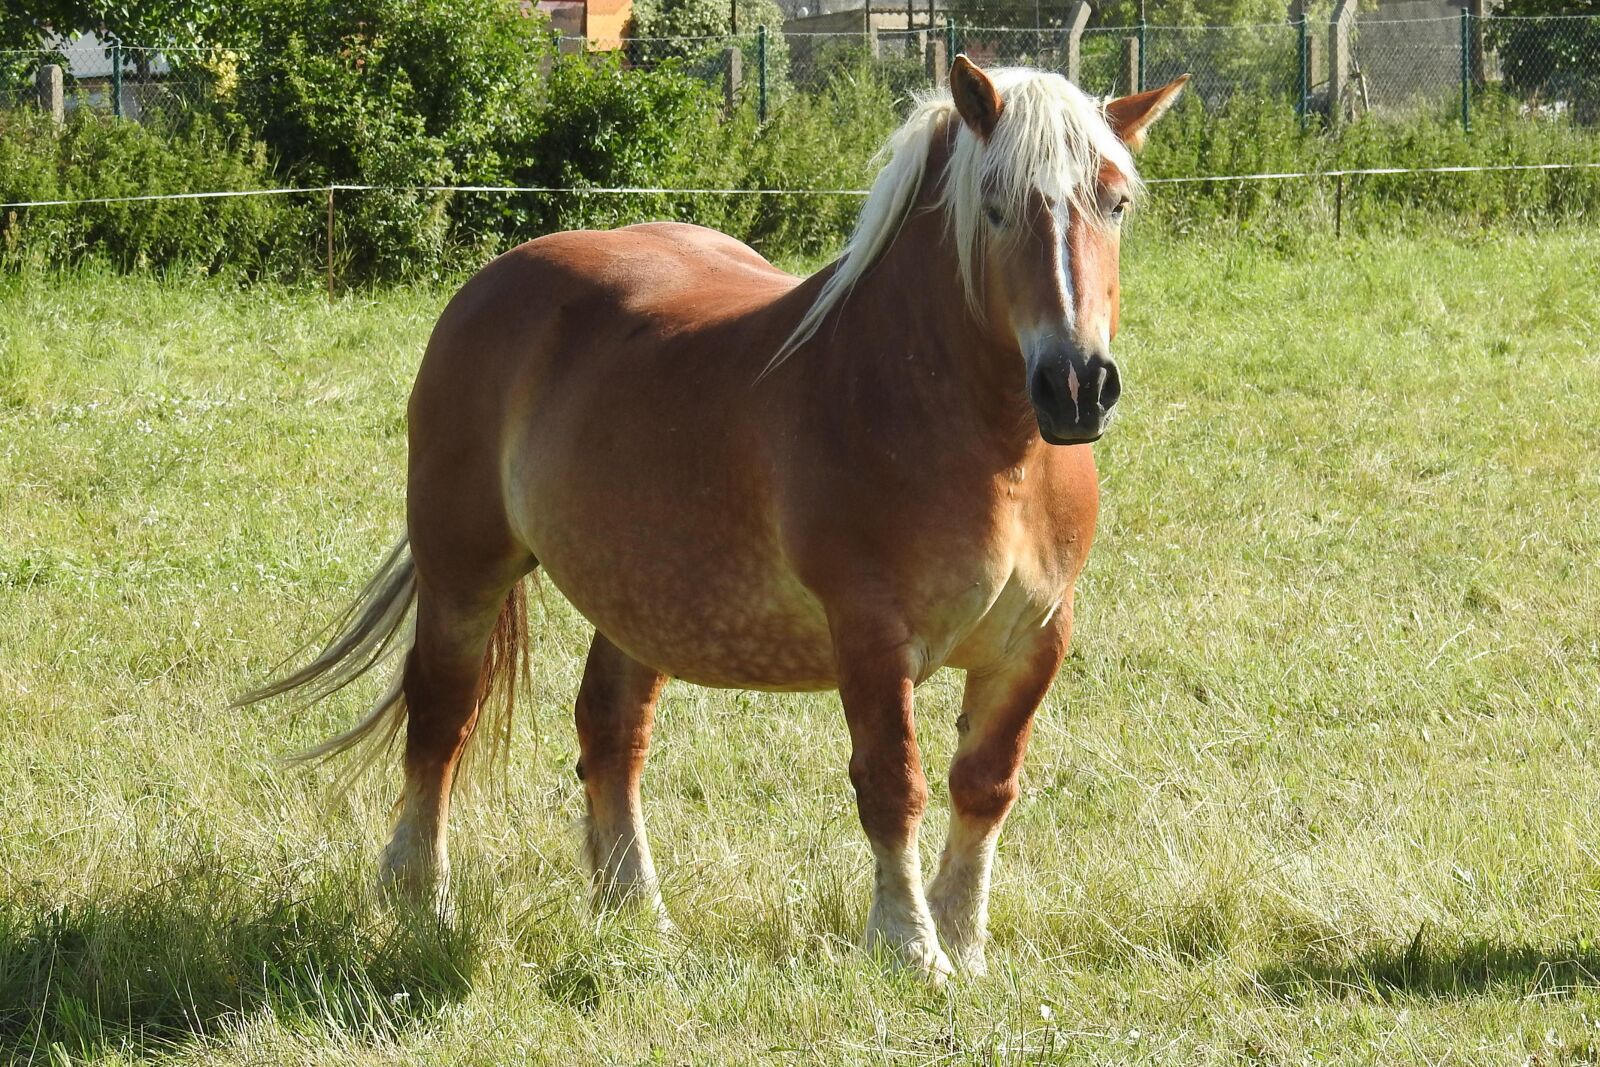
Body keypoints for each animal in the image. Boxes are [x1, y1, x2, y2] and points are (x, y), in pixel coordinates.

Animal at [239, 56, 1187, 983]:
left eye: (1116, 202)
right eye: (993, 207)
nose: (1077, 385)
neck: (984, 444)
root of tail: (495, 280)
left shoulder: (1036, 638)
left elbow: (985, 786)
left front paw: (965, 942)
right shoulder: (871, 638)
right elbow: (894, 786)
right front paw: (910, 947)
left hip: (638, 594)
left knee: (610, 732)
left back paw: (636, 913)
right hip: (463, 568)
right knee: (441, 720)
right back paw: (420, 899)